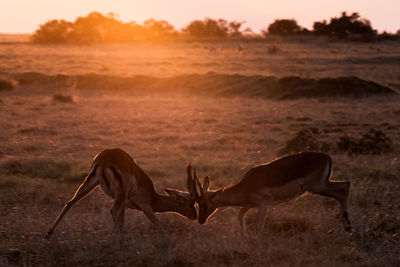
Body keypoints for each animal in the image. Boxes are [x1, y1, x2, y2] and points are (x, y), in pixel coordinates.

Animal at [47, 149, 197, 239]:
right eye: (191, 203)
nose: (195, 216)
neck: (153, 197)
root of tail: (104, 159)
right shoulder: (145, 206)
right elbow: (160, 225)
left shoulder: (124, 204)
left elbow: (122, 221)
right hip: (118, 194)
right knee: (112, 211)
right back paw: (119, 243)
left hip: (92, 183)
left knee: (70, 202)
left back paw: (48, 234)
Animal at [192, 153, 352, 239]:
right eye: (198, 203)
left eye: (204, 203)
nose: (200, 220)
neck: (246, 184)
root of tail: (327, 157)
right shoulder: (249, 205)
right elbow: (240, 215)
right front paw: (246, 237)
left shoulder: (264, 203)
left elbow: (259, 226)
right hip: (321, 186)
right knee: (345, 185)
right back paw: (346, 227)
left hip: (318, 187)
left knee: (344, 187)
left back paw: (348, 227)